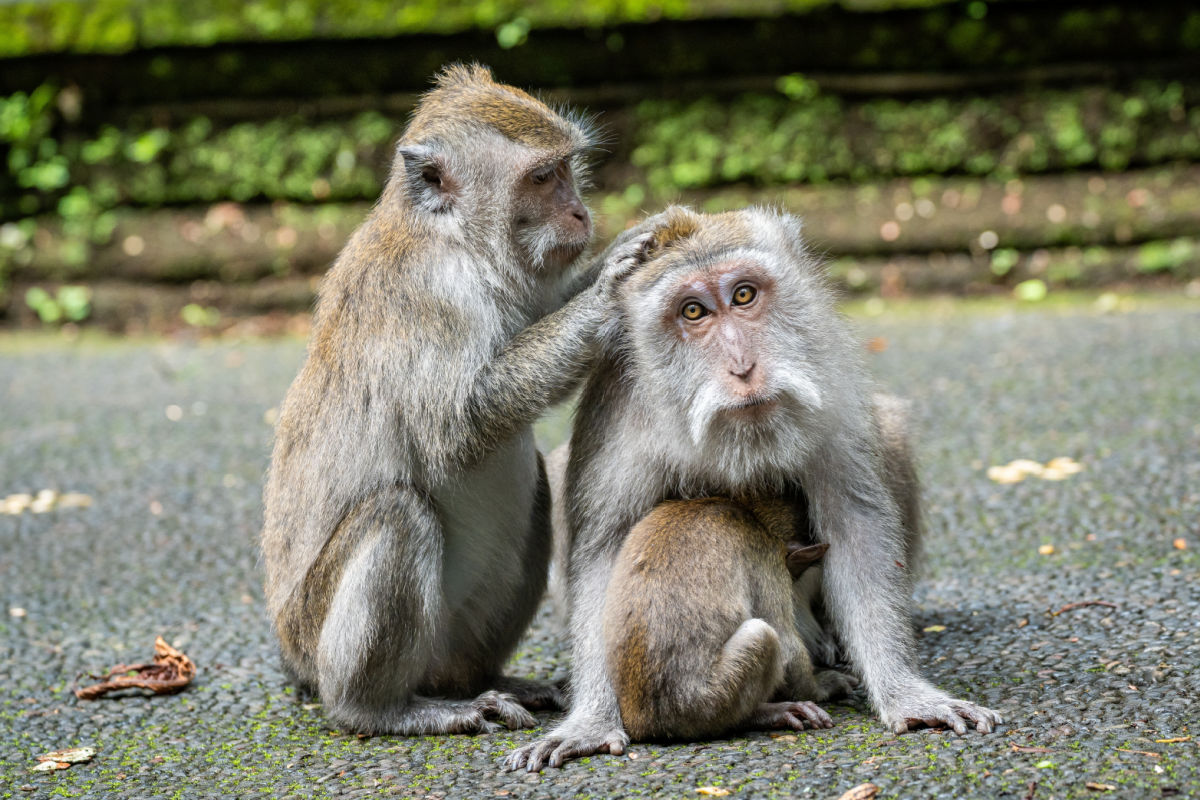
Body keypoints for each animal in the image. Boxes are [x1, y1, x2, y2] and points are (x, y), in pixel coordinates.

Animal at [260, 64, 659, 737]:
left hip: (452, 641)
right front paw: (606, 294)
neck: (454, 239)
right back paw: (382, 708)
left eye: (567, 170)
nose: (581, 213)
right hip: (315, 640)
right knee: (397, 515)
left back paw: (489, 679)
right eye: (542, 178)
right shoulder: (430, 295)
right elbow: (457, 426)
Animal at [604, 495, 856, 742]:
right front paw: (822, 686)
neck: (752, 514)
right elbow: (787, 646)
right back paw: (762, 714)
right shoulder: (768, 557)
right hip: (703, 705)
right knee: (763, 636)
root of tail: (641, 722)